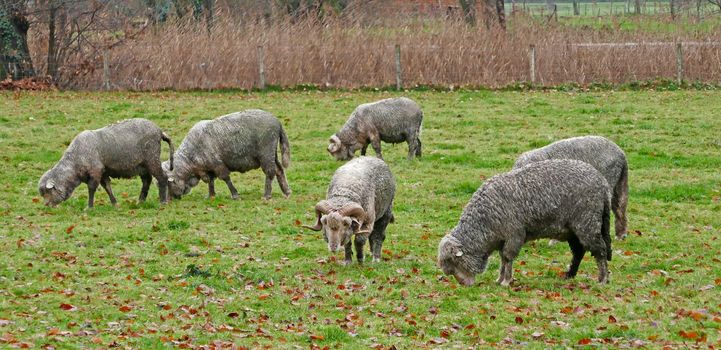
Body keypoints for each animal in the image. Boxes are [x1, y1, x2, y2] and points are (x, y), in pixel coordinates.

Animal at [38, 119, 174, 209]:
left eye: (47, 192)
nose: (47, 206)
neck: (75, 162)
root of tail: (160, 131)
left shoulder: (96, 170)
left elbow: (92, 188)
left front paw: (89, 207)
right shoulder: (103, 172)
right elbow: (107, 187)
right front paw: (115, 204)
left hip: (152, 159)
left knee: (162, 177)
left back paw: (162, 202)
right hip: (141, 165)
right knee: (147, 181)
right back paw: (140, 201)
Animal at [436, 160, 612, 288]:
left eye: (454, 262)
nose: (463, 285)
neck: (484, 224)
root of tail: (603, 183)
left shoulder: (514, 235)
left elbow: (508, 258)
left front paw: (506, 281)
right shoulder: (503, 239)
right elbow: (503, 259)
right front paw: (500, 279)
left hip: (587, 222)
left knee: (600, 250)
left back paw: (603, 279)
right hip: (573, 229)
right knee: (579, 251)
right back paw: (569, 275)